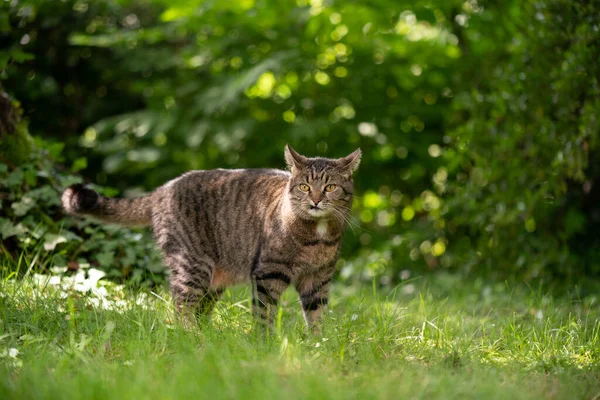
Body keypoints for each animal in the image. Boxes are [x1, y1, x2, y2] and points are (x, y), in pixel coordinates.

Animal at [61, 145, 360, 330]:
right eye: (305, 186)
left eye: (330, 187)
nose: (316, 200)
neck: (317, 237)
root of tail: (163, 189)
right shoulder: (268, 273)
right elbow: (264, 315)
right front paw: (265, 345)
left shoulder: (318, 278)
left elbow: (318, 317)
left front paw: (318, 348)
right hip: (191, 266)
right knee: (182, 309)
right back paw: (191, 340)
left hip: (213, 282)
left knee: (198, 311)